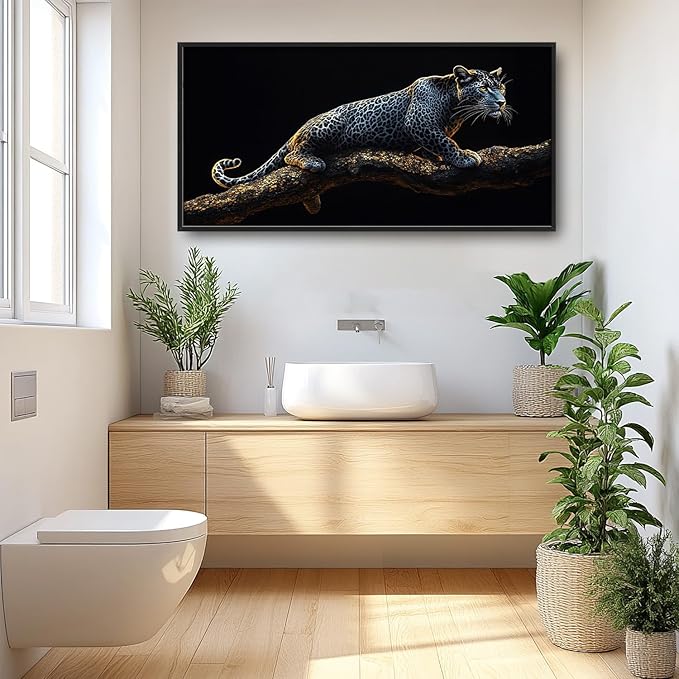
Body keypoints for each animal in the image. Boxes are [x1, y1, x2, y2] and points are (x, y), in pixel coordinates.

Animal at [211, 65, 514, 189]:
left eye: (500, 88)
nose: (501, 102)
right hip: (328, 126)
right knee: (292, 153)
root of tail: (300, 127)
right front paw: (464, 157)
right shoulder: (418, 122)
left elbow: (435, 145)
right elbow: (443, 141)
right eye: (484, 88)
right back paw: (312, 162)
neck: (456, 107)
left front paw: (439, 158)